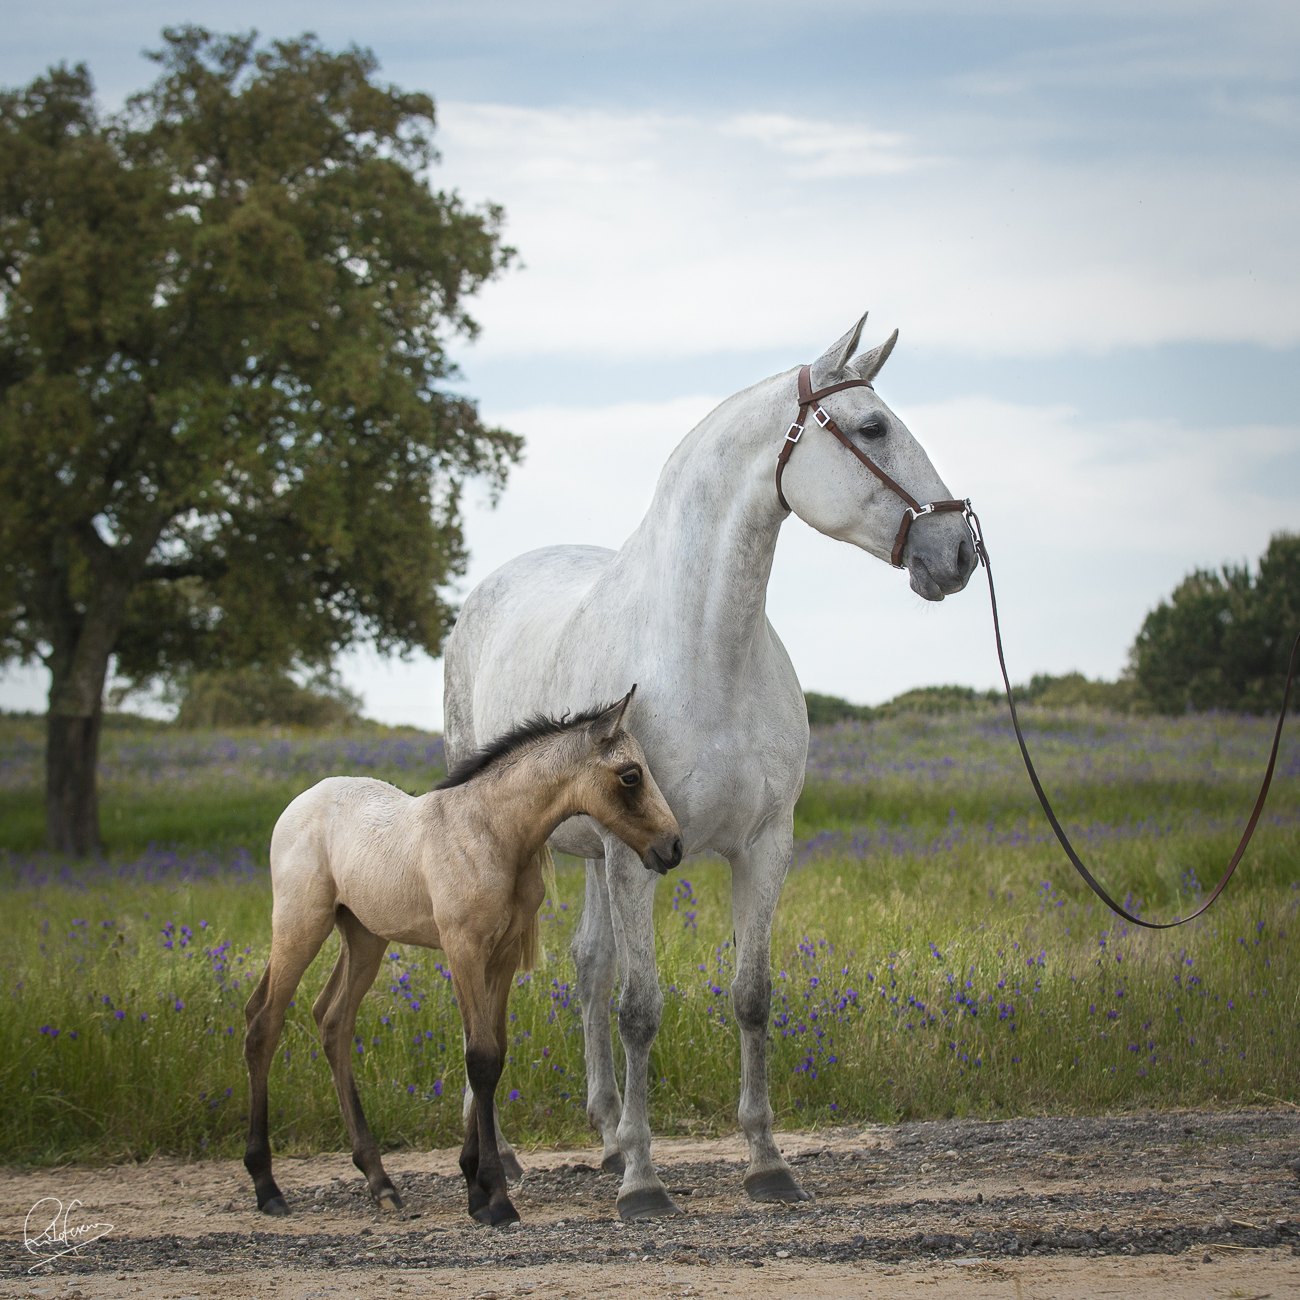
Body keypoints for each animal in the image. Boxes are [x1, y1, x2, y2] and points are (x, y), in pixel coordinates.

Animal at [242, 687, 683, 1227]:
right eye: (631, 775)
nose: (673, 846)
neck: (491, 834)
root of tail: (302, 801)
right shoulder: (464, 950)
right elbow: (481, 1058)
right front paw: (494, 1197)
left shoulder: (502, 957)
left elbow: (494, 1054)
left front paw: (476, 1187)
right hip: (300, 923)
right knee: (264, 1021)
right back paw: (267, 1186)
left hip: (364, 937)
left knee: (333, 1020)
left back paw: (380, 1182)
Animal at [442, 314, 978, 1220]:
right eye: (872, 427)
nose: (960, 549)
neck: (702, 650)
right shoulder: (636, 860)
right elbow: (642, 1008)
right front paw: (644, 1183)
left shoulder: (762, 846)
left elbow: (749, 998)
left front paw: (766, 1163)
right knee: (498, 977)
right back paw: (505, 1157)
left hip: (589, 856)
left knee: (588, 965)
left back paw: (607, 1132)